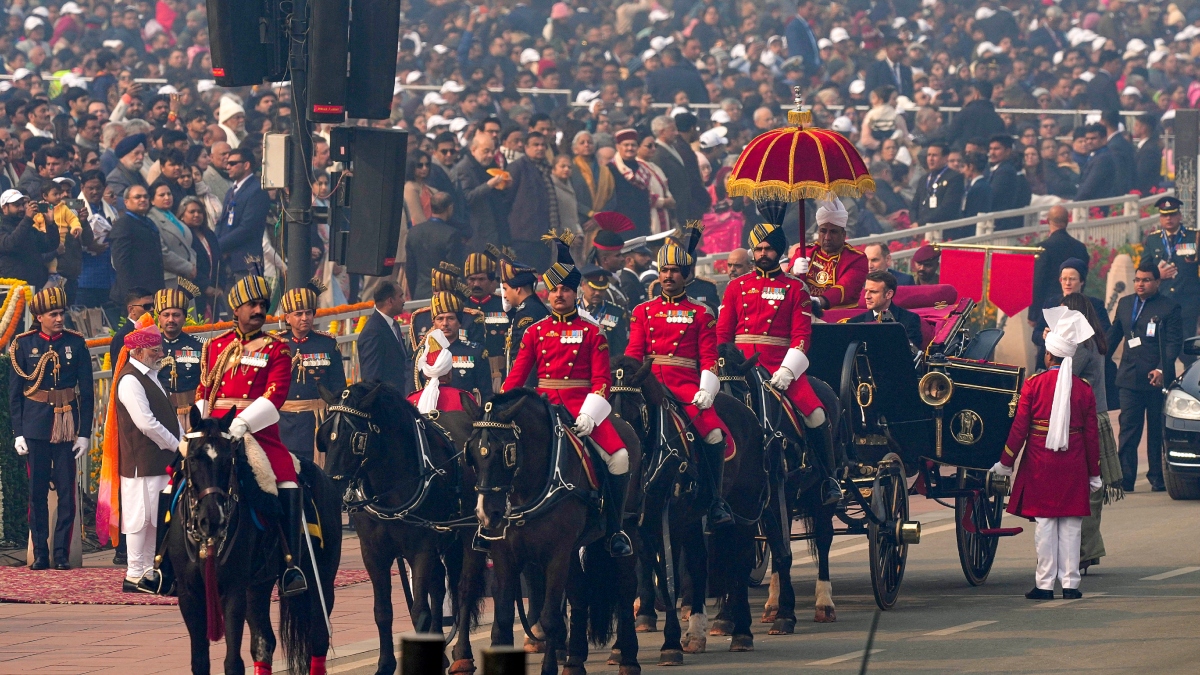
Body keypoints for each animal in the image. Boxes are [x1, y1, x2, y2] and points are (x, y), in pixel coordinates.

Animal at [166, 403, 343, 672]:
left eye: (229, 459)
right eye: (194, 458)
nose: (212, 520)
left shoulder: (234, 589)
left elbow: (233, 662)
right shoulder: (189, 594)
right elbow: (200, 661)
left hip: (320, 576)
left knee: (318, 635)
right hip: (258, 585)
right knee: (263, 641)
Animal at [316, 381, 470, 672]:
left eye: (356, 439)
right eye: (325, 437)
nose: (329, 488)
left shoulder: (422, 549)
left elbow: (420, 610)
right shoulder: (373, 553)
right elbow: (383, 611)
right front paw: (385, 665)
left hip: (463, 541)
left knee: (461, 590)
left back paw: (462, 655)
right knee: (439, 587)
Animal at [451, 389, 643, 672]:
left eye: (507, 453)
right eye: (471, 454)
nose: (487, 515)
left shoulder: (556, 555)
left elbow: (550, 616)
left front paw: (549, 667)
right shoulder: (505, 555)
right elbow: (504, 616)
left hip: (625, 529)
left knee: (626, 587)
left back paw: (627, 658)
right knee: (579, 593)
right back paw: (574, 661)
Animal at [609, 355, 768, 658]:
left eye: (637, 414)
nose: (622, 471)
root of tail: (748, 414)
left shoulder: (669, 521)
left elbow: (668, 576)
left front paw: (670, 643)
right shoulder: (638, 526)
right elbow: (643, 572)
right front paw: (621, 644)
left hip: (744, 507)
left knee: (739, 561)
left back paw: (741, 631)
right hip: (694, 517)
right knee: (698, 563)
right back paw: (696, 632)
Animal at [710, 343, 844, 629]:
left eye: (741, 392)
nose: (726, 447)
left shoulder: (781, 490)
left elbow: (783, 550)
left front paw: (786, 614)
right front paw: (725, 615)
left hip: (820, 491)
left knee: (823, 537)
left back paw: (823, 602)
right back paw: (772, 602)